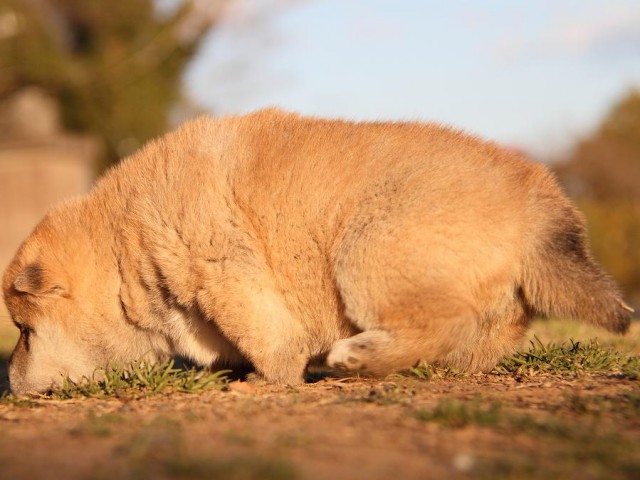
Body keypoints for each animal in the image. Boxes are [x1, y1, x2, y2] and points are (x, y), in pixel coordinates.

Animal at [1, 109, 632, 394]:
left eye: (25, 332)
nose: (8, 381)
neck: (119, 247)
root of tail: (535, 198)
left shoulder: (224, 273)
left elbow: (268, 341)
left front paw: (266, 379)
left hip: (367, 249)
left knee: (439, 323)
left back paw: (356, 357)